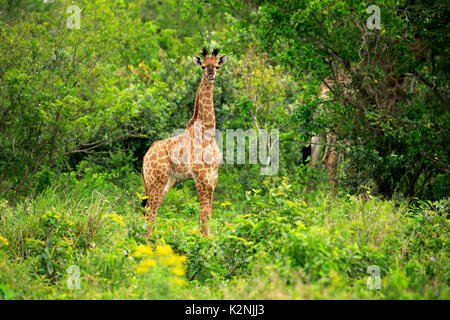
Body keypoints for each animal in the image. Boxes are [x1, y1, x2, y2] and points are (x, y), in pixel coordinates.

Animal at [142, 47, 227, 238]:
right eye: (203, 66)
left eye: (217, 65)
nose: (211, 74)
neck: (207, 132)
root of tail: (146, 156)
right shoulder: (200, 175)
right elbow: (204, 213)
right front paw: (207, 242)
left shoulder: (214, 176)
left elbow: (208, 213)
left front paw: (204, 239)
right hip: (156, 179)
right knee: (150, 210)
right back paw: (144, 242)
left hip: (168, 180)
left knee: (151, 209)